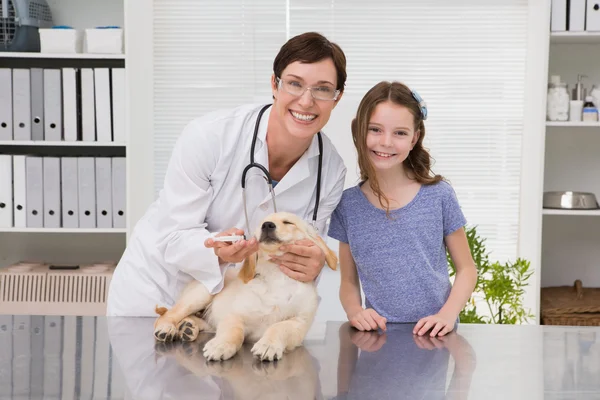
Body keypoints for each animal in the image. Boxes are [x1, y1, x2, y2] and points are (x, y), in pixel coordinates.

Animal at [152, 212, 338, 362]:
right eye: (262, 223)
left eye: (288, 222)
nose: (267, 225)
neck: (276, 276)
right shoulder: (234, 315)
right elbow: (233, 332)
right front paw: (221, 345)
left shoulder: (299, 323)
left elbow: (278, 328)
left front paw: (268, 345)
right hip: (202, 293)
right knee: (169, 314)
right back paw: (167, 328)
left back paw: (188, 327)